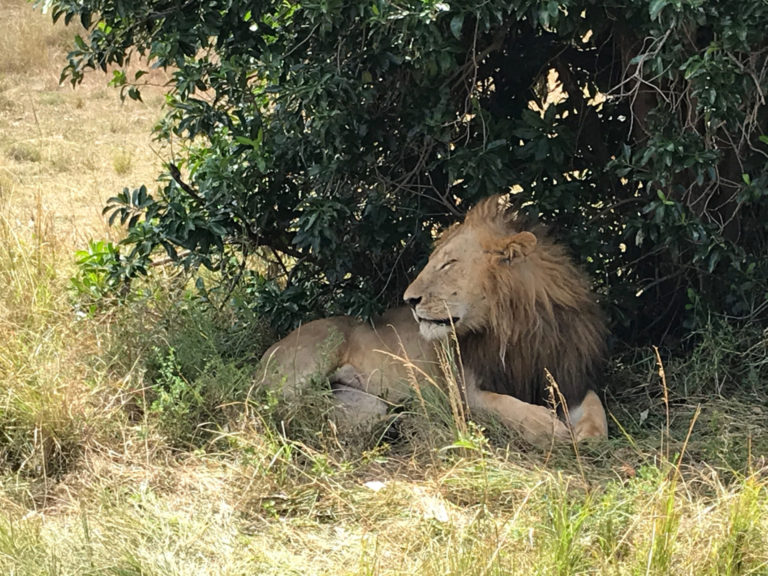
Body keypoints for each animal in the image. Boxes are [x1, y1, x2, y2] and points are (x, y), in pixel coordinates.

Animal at [258, 195, 608, 446]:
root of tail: (267, 353)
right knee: (277, 408)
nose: (409, 300)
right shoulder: (464, 390)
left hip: (362, 403)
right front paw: (550, 429)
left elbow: (597, 413)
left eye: (448, 264)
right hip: (313, 358)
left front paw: (586, 437)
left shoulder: (569, 376)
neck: (517, 328)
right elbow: (509, 407)